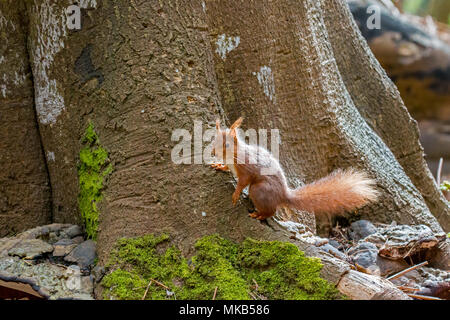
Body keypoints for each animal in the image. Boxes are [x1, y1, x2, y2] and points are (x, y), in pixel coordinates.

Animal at [211, 117, 380, 220]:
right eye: (213, 140)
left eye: (227, 145)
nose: (213, 153)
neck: (234, 155)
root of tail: (283, 195)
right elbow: (226, 167)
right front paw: (219, 165)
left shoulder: (247, 167)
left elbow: (243, 181)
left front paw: (236, 194)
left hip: (260, 190)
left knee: (270, 210)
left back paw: (259, 215)